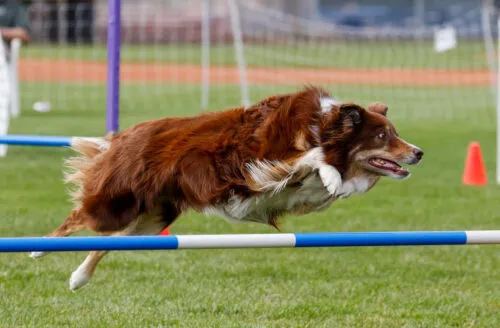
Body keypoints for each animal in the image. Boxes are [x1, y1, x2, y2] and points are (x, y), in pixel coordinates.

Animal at [30, 85, 422, 290]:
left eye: (396, 133)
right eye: (383, 136)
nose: (418, 152)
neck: (325, 126)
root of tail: (126, 134)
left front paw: (332, 178)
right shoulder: (258, 164)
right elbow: (311, 158)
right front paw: (330, 174)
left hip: (153, 219)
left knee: (106, 243)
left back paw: (79, 277)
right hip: (118, 203)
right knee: (79, 218)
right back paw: (38, 248)